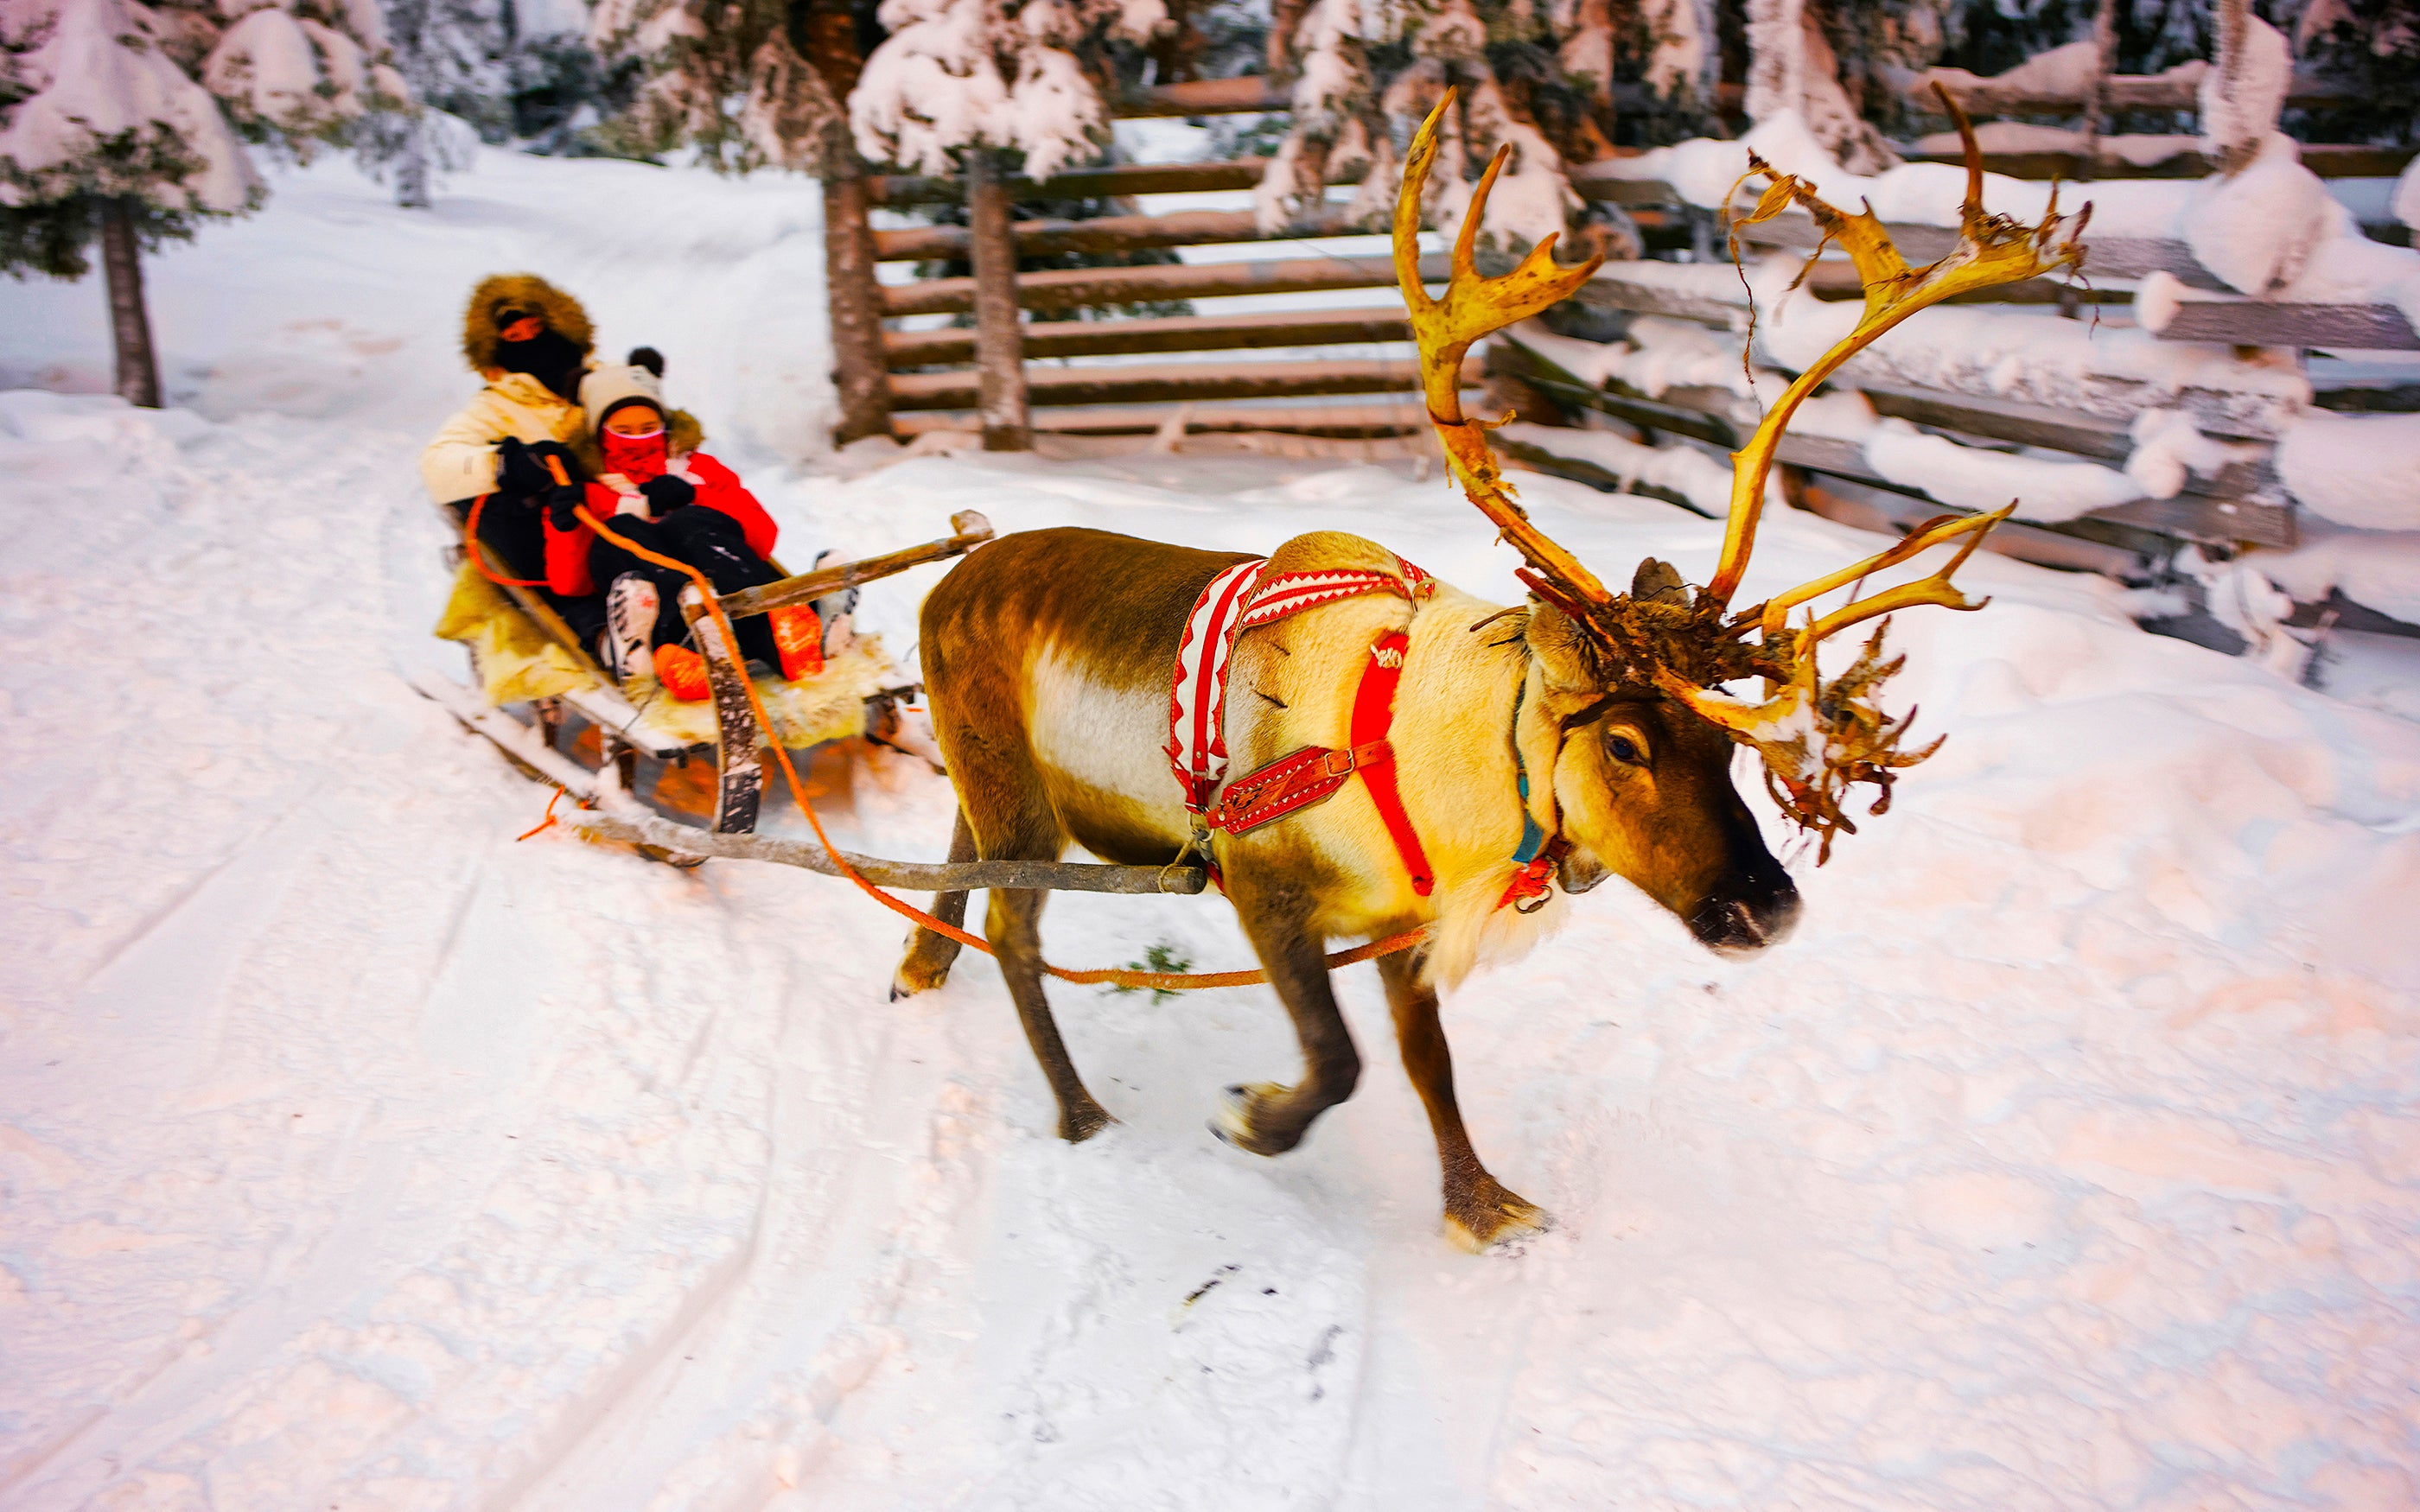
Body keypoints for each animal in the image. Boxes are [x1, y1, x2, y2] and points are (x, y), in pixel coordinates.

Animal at [890, 88, 2088, 1251]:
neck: (1426, 756)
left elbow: (1427, 1060)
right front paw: (1255, 1120)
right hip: (1012, 779)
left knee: (966, 854)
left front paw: (1479, 1204)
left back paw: (921, 966)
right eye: (1623, 741)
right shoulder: (1264, 884)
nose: (1765, 910)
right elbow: (1341, 1060)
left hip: (998, 773)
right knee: (1014, 927)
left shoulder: (1397, 919)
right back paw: (1077, 1108)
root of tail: (944, 580)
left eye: (1727, 738)